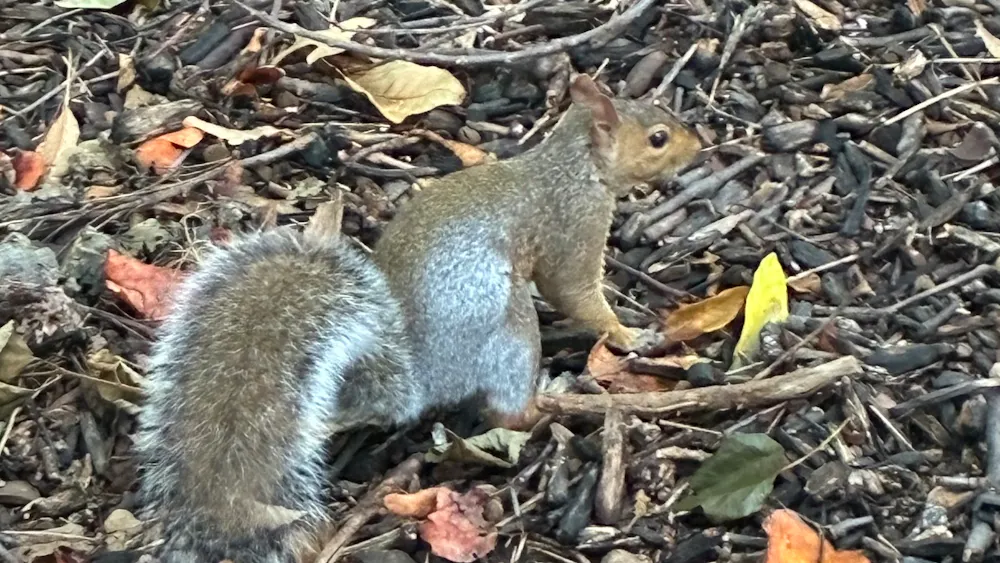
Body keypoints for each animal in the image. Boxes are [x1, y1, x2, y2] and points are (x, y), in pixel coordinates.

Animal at [135, 73, 701, 563]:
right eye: (657, 139)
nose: (699, 145)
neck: (572, 166)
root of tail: (410, 382)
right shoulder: (571, 225)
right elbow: (575, 291)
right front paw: (627, 331)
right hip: (509, 321)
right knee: (506, 411)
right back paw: (549, 401)